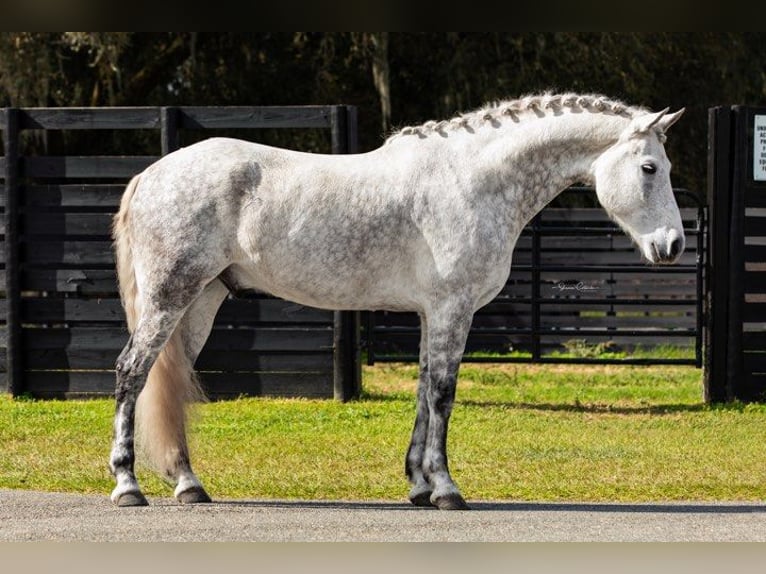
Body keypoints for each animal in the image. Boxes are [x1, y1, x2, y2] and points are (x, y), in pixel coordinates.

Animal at [106, 94, 684, 512]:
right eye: (650, 168)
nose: (673, 246)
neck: (473, 180)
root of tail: (150, 174)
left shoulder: (433, 313)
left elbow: (424, 393)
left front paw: (419, 487)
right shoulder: (453, 309)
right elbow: (443, 396)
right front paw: (447, 490)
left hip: (202, 299)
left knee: (171, 378)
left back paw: (188, 483)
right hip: (171, 295)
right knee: (132, 371)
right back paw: (127, 485)